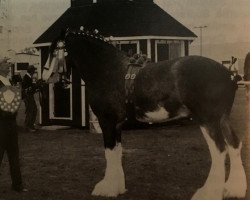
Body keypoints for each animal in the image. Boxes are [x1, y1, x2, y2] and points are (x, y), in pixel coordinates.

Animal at [44, 28, 246, 200]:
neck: (108, 70)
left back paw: (208, 193)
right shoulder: (117, 124)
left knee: (219, 151)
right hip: (222, 119)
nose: (45, 77)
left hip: (208, 120)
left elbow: (109, 152)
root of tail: (229, 75)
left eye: (54, 51)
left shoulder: (107, 121)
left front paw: (107, 188)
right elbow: (117, 152)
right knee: (234, 145)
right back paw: (233, 190)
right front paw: (118, 187)